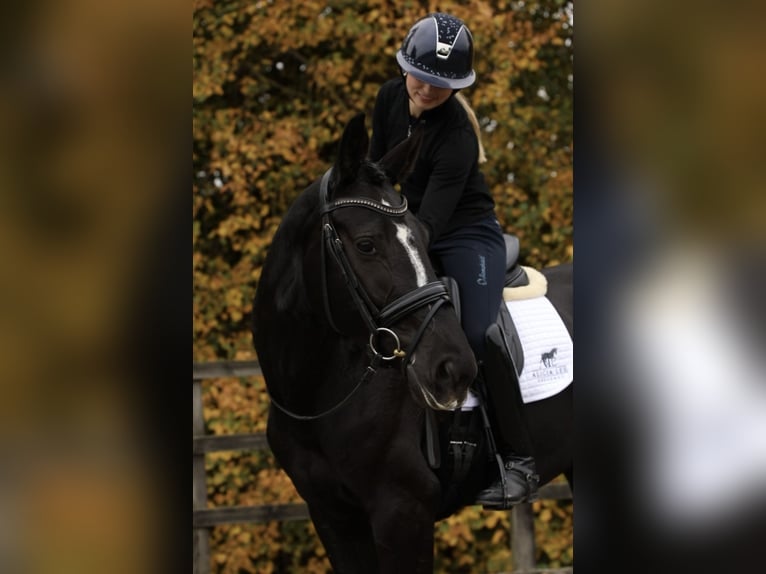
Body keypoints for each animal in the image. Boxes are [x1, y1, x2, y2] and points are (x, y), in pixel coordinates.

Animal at [251, 113, 573, 573]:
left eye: (423, 236)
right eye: (366, 244)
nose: (452, 369)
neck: (318, 395)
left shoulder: (402, 513)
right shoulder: (333, 518)